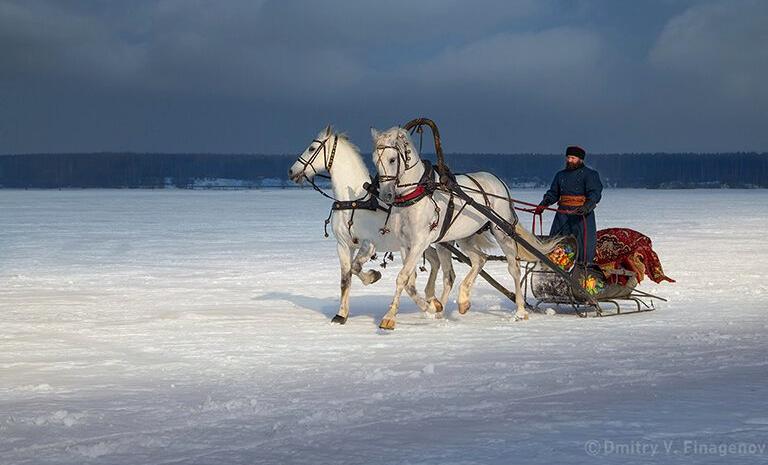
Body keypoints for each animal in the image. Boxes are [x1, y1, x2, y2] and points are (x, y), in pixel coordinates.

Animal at [290, 125, 456, 324]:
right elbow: (345, 278)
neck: (354, 201)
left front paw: (373, 276)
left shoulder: (369, 244)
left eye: (312, 148)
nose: (291, 171)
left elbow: (355, 268)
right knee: (434, 262)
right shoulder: (343, 245)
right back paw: (432, 300)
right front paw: (341, 314)